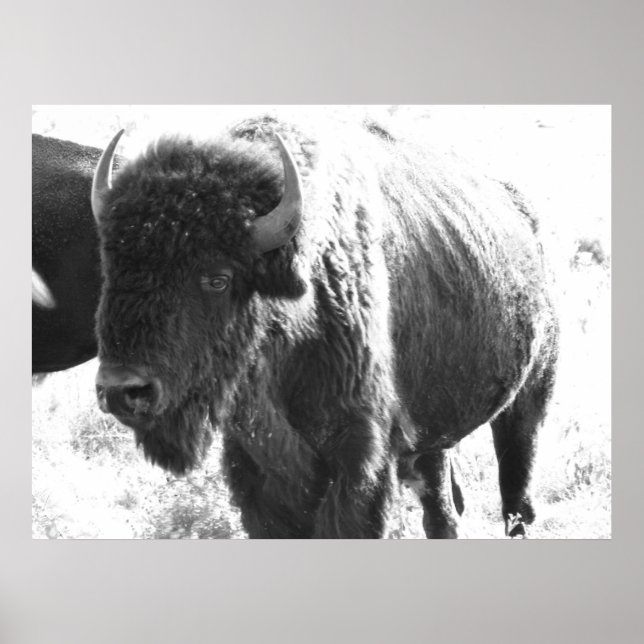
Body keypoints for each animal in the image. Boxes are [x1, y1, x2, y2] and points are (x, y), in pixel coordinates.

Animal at [92, 115, 559, 538]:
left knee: (516, 500)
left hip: (529, 398)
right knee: (441, 512)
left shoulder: (357, 454)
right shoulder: (256, 466)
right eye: (112, 266)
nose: (122, 390)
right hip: (433, 436)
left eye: (217, 278)